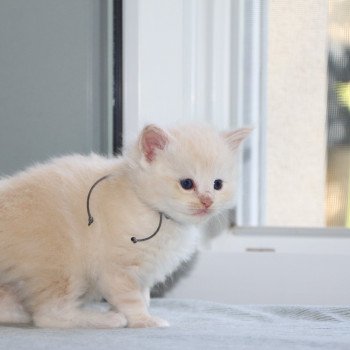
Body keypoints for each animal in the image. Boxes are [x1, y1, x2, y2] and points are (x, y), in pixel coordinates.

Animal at [0, 123, 250, 328]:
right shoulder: (116, 268)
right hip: (59, 264)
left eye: (218, 184)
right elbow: (131, 299)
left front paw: (138, 312)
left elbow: (143, 296)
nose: (207, 201)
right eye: (187, 183)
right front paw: (143, 320)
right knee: (49, 315)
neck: (154, 213)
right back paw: (107, 320)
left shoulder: (144, 271)